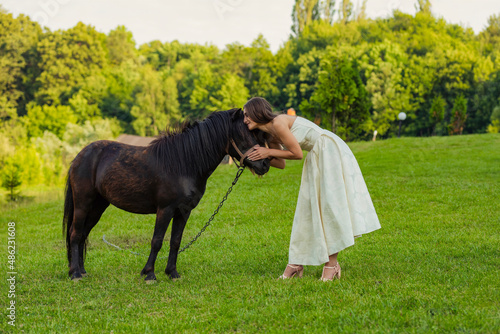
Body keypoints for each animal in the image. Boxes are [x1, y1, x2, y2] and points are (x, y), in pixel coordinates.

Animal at [65, 109, 272, 282]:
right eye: (244, 135)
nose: (265, 164)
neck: (184, 164)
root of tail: (80, 156)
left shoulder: (183, 212)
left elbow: (175, 241)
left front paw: (172, 273)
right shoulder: (165, 210)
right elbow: (157, 241)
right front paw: (149, 274)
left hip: (98, 207)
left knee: (83, 234)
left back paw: (82, 271)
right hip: (83, 204)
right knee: (75, 234)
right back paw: (75, 274)